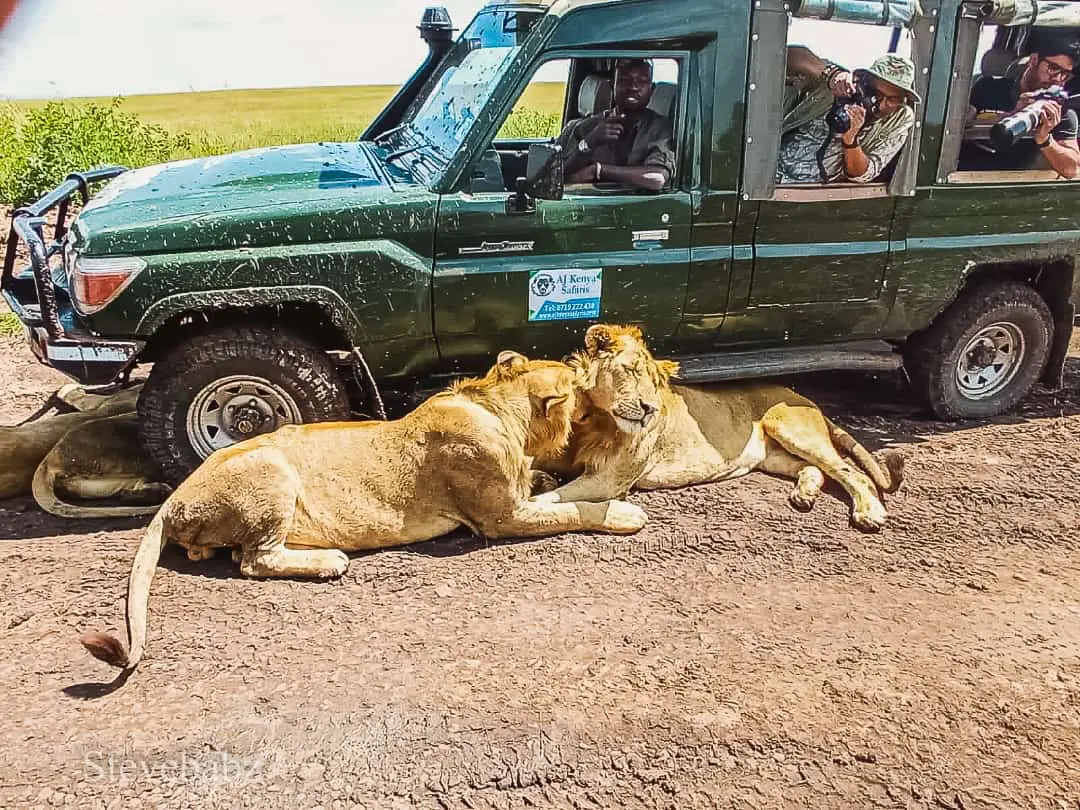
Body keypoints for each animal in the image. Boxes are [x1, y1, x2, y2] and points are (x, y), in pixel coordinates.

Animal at [80, 351, 648, 674]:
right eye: (582, 386)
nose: (637, 409)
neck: (495, 408)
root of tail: (174, 497)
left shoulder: (513, 498)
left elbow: (555, 493)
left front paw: (551, 480)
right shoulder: (499, 519)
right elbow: (574, 509)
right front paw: (621, 513)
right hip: (271, 468)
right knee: (252, 560)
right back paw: (329, 561)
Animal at [533, 325, 904, 532]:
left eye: (657, 383)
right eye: (632, 370)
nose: (650, 408)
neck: (591, 417)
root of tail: (802, 396)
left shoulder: (608, 480)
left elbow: (547, 499)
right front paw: (541, 478)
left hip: (791, 430)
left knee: (852, 472)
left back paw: (870, 512)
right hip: (772, 456)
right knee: (812, 469)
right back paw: (805, 495)